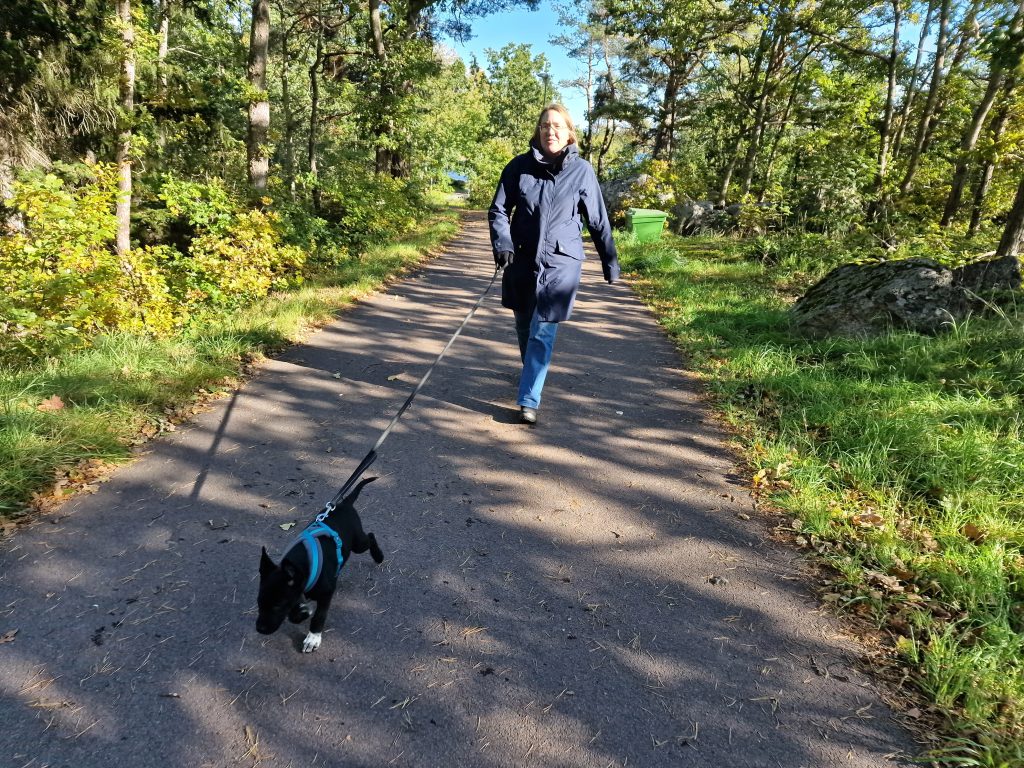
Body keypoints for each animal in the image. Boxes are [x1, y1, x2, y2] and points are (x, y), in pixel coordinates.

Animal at [256, 479, 385, 651]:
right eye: (259, 602)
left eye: (278, 605)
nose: (260, 629)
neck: (304, 561)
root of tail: (344, 504)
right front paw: (302, 611)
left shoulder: (326, 592)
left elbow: (319, 615)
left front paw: (313, 637)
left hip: (358, 543)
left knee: (370, 536)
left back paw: (379, 556)